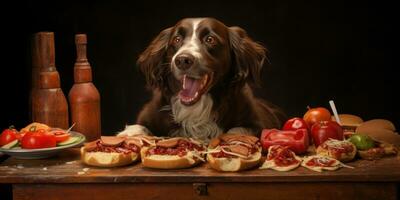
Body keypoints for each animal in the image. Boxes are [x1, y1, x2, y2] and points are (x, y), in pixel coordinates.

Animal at [117, 17, 286, 142]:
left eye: (210, 39)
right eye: (177, 39)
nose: (182, 60)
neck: (195, 111)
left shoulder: (259, 123)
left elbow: (238, 130)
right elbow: (139, 127)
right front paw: (128, 134)